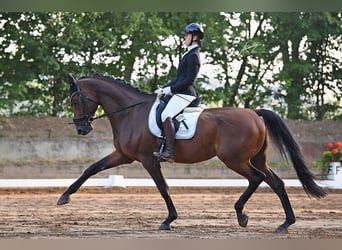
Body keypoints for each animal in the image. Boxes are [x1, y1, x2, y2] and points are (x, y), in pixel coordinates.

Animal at [56, 73, 326, 233]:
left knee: (256, 179)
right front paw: (64, 197)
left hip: (235, 159)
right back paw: (285, 223)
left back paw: (241, 215)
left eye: (75, 100)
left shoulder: (146, 159)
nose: (81, 129)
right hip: (256, 158)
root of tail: (254, 113)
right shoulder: (123, 155)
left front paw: (168, 220)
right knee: (276, 183)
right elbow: (91, 168)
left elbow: (162, 187)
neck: (130, 112)